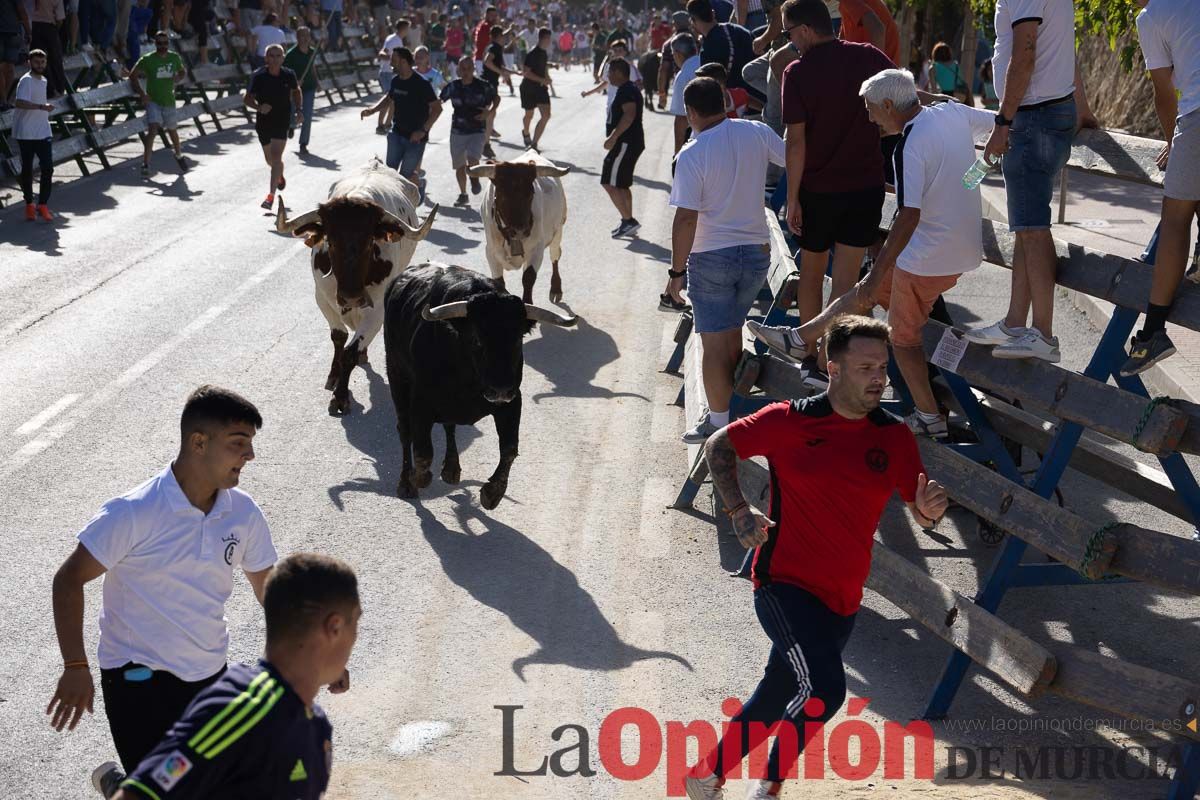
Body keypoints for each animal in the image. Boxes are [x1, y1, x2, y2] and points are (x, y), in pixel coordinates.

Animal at [274, 159, 439, 417]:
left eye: (370, 241)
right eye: (330, 241)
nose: (351, 297)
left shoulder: (377, 310)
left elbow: (350, 353)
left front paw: (340, 397)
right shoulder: (322, 298)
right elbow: (339, 338)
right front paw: (334, 376)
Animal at [381, 266, 573, 510]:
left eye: (517, 339)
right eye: (476, 339)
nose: (500, 389)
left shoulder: (512, 402)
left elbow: (509, 449)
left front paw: (492, 493)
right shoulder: (420, 403)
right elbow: (423, 452)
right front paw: (418, 478)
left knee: (449, 425)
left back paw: (451, 469)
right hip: (397, 377)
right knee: (405, 431)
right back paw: (406, 483)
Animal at [468, 148, 566, 304]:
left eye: (531, 193)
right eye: (502, 195)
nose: (520, 230)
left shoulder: (536, 250)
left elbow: (528, 278)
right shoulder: (491, 252)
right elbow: (499, 282)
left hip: (558, 231)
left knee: (555, 255)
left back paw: (556, 288)